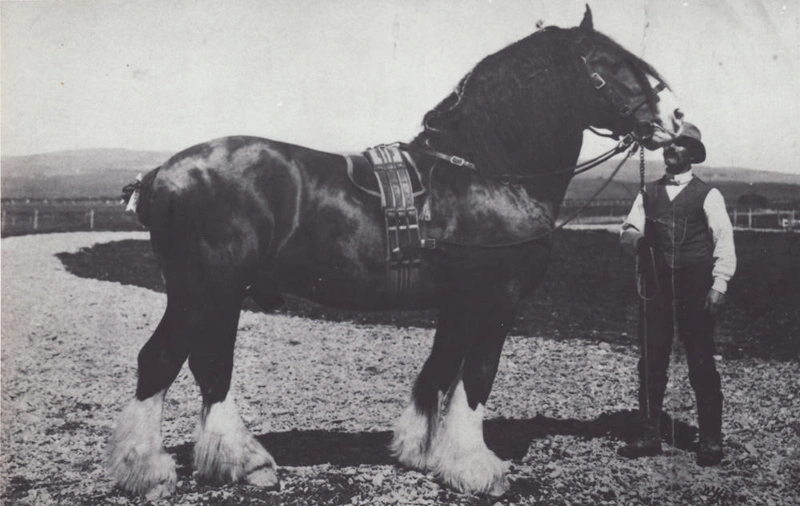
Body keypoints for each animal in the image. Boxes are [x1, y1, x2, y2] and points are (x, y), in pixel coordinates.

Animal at [106, 6, 680, 498]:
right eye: (612, 64)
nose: (678, 124)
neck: (486, 169)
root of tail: (159, 175)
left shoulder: (458, 302)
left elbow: (439, 370)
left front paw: (423, 453)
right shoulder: (497, 299)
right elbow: (477, 376)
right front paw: (478, 469)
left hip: (216, 296)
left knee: (205, 366)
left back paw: (235, 464)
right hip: (203, 292)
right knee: (165, 361)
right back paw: (151, 472)